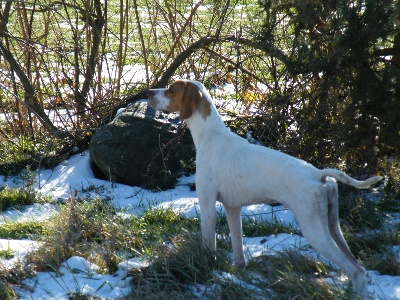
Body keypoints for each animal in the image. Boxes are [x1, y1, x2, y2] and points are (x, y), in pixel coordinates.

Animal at [148, 78, 384, 296]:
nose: (148, 92)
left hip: (315, 231)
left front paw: (207, 271)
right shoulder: (233, 210)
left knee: (355, 271)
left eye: (171, 90)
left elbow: (208, 247)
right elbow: (239, 251)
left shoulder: (207, 209)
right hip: (334, 228)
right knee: (359, 267)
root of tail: (319, 175)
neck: (211, 136)